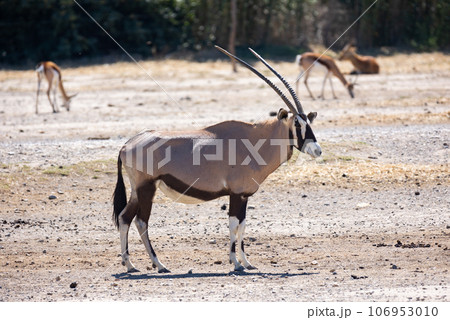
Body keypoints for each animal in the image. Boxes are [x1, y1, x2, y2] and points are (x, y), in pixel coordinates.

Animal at [114, 46, 322, 274]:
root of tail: (127, 145)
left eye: (309, 123)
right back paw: (159, 264)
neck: (254, 140)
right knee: (141, 222)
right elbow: (233, 225)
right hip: (146, 188)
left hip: (137, 190)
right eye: (297, 125)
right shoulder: (236, 194)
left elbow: (242, 225)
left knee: (124, 218)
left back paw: (130, 264)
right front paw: (236, 263)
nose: (317, 150)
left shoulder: (244, 196)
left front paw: (247, 262)